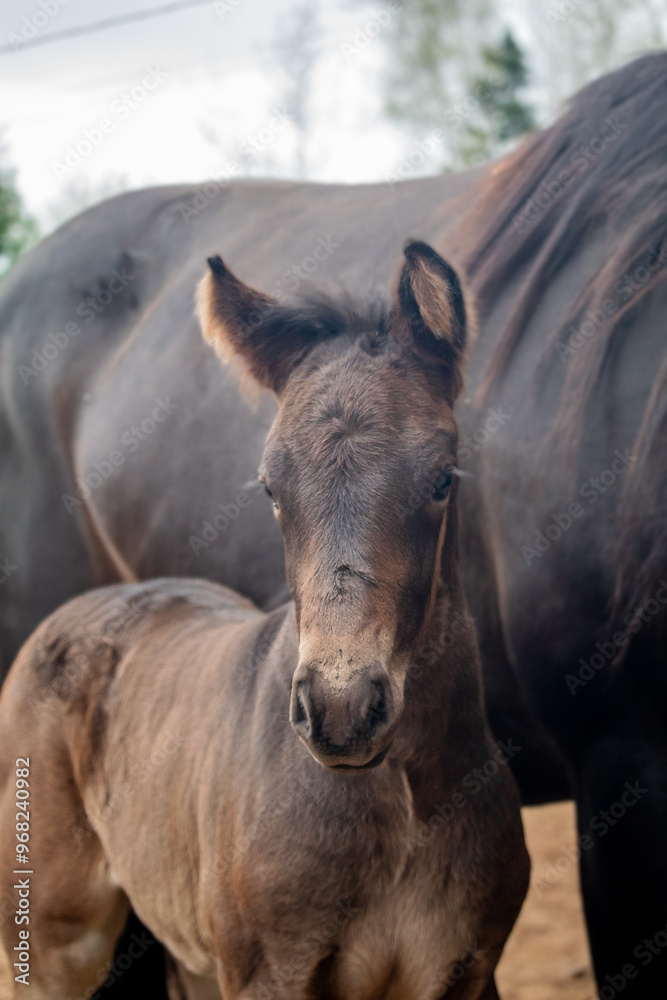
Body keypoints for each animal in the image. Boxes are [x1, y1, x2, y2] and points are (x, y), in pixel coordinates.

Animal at [0, 242, 529, 1000]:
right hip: (53, 940)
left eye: (442, 478)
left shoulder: (467, 970)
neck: (401, 809)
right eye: (270, 487)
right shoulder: (267, 975)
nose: (340, 711)